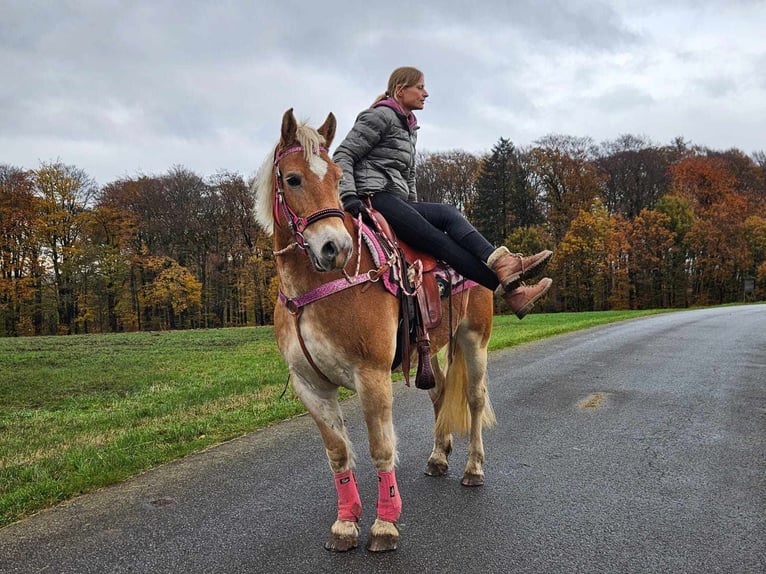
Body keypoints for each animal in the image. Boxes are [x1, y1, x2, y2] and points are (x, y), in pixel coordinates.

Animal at [254, 109, 498, 552]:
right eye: (293, 178)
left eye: (338, 178)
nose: (336, 248)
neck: (316, 290)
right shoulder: (310, 386)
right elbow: (338, 453)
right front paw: (345, 522)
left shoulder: (372, 377)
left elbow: (381, 448)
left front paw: (385, 523)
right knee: (439, 394)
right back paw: (439, 456)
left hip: (474, 339)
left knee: (474, 400)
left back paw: (473, 468)